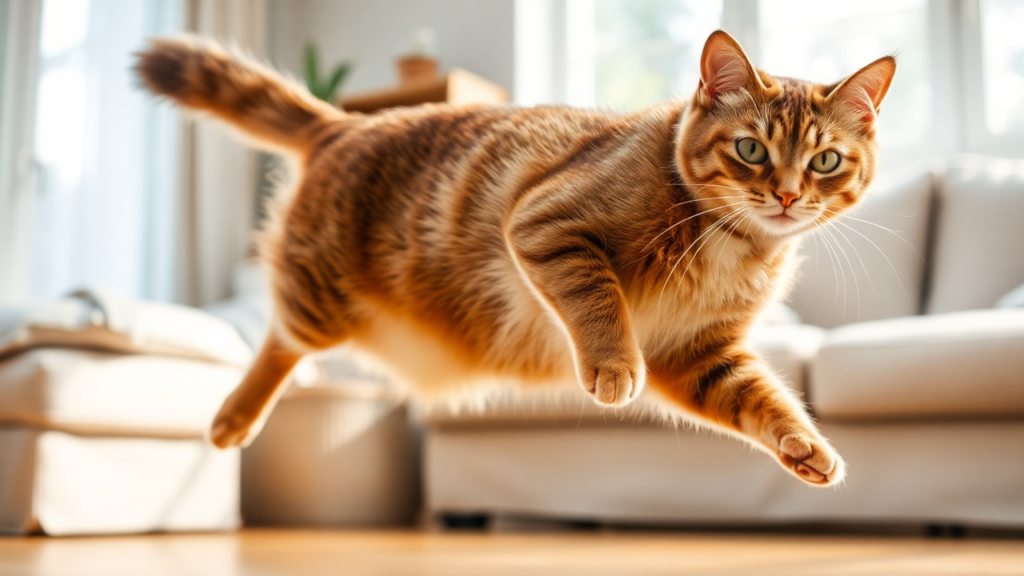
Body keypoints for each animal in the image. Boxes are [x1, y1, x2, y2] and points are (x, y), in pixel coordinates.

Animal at [138, 28, 897, 483]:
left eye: (825, 160)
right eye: (749, 149)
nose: (788, 195)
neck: (734, 244)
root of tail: (345, 123)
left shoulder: (698, 354)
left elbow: (763, 400)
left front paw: (804, 445)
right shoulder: (547, 224)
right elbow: (598, 298)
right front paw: (613, 365)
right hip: (323, 295)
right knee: (279, 341)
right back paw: (232, 419)